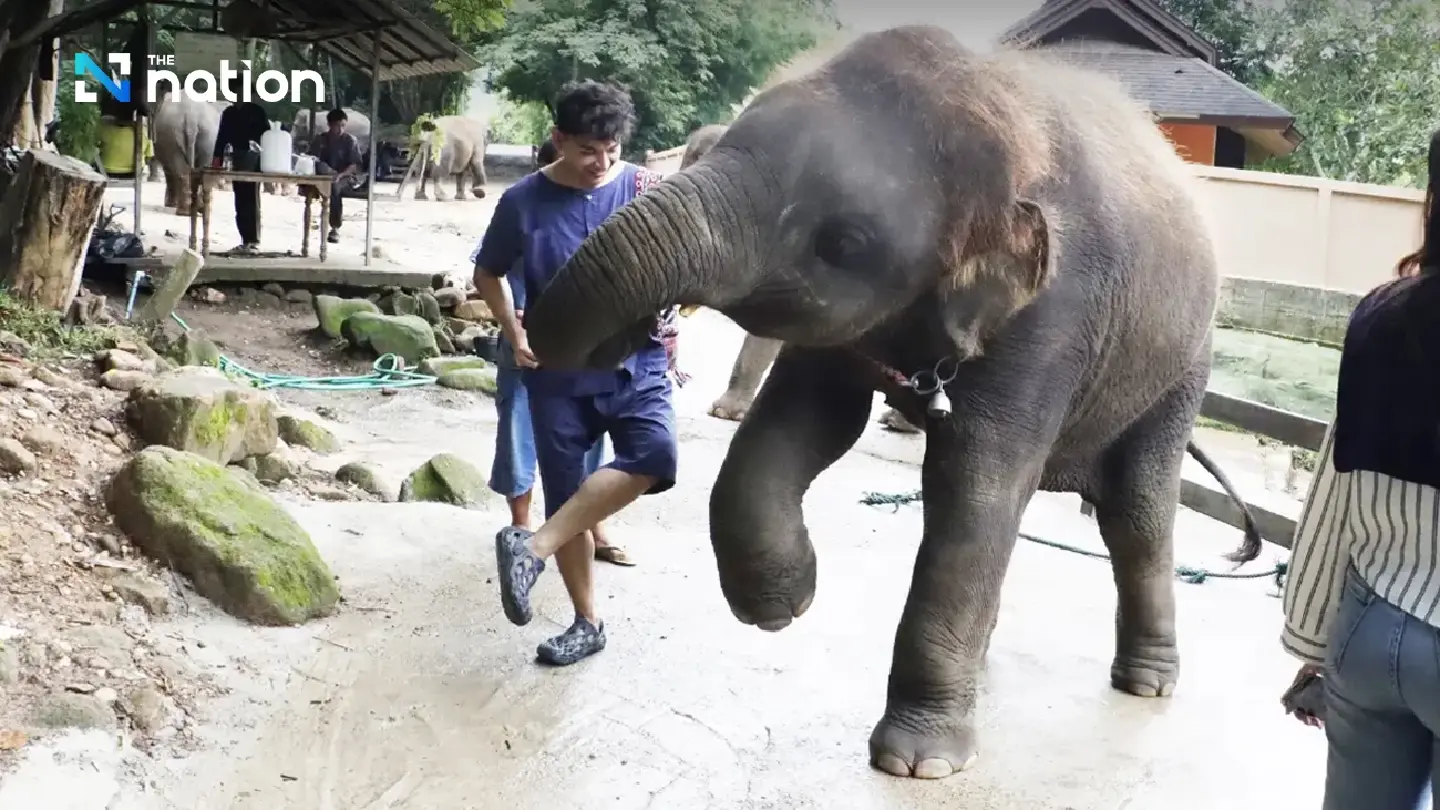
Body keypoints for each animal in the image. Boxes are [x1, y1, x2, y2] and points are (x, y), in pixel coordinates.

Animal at [520, 27, 1267, 779]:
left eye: (842, 243)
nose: (635, 335)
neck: (997, 117)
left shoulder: (1055, 318)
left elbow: (975, 481)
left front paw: (918, 763)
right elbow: (803, 423)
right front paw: (783, 604)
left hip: (1180, 372)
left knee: (1136, 511)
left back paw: (1147, 683)